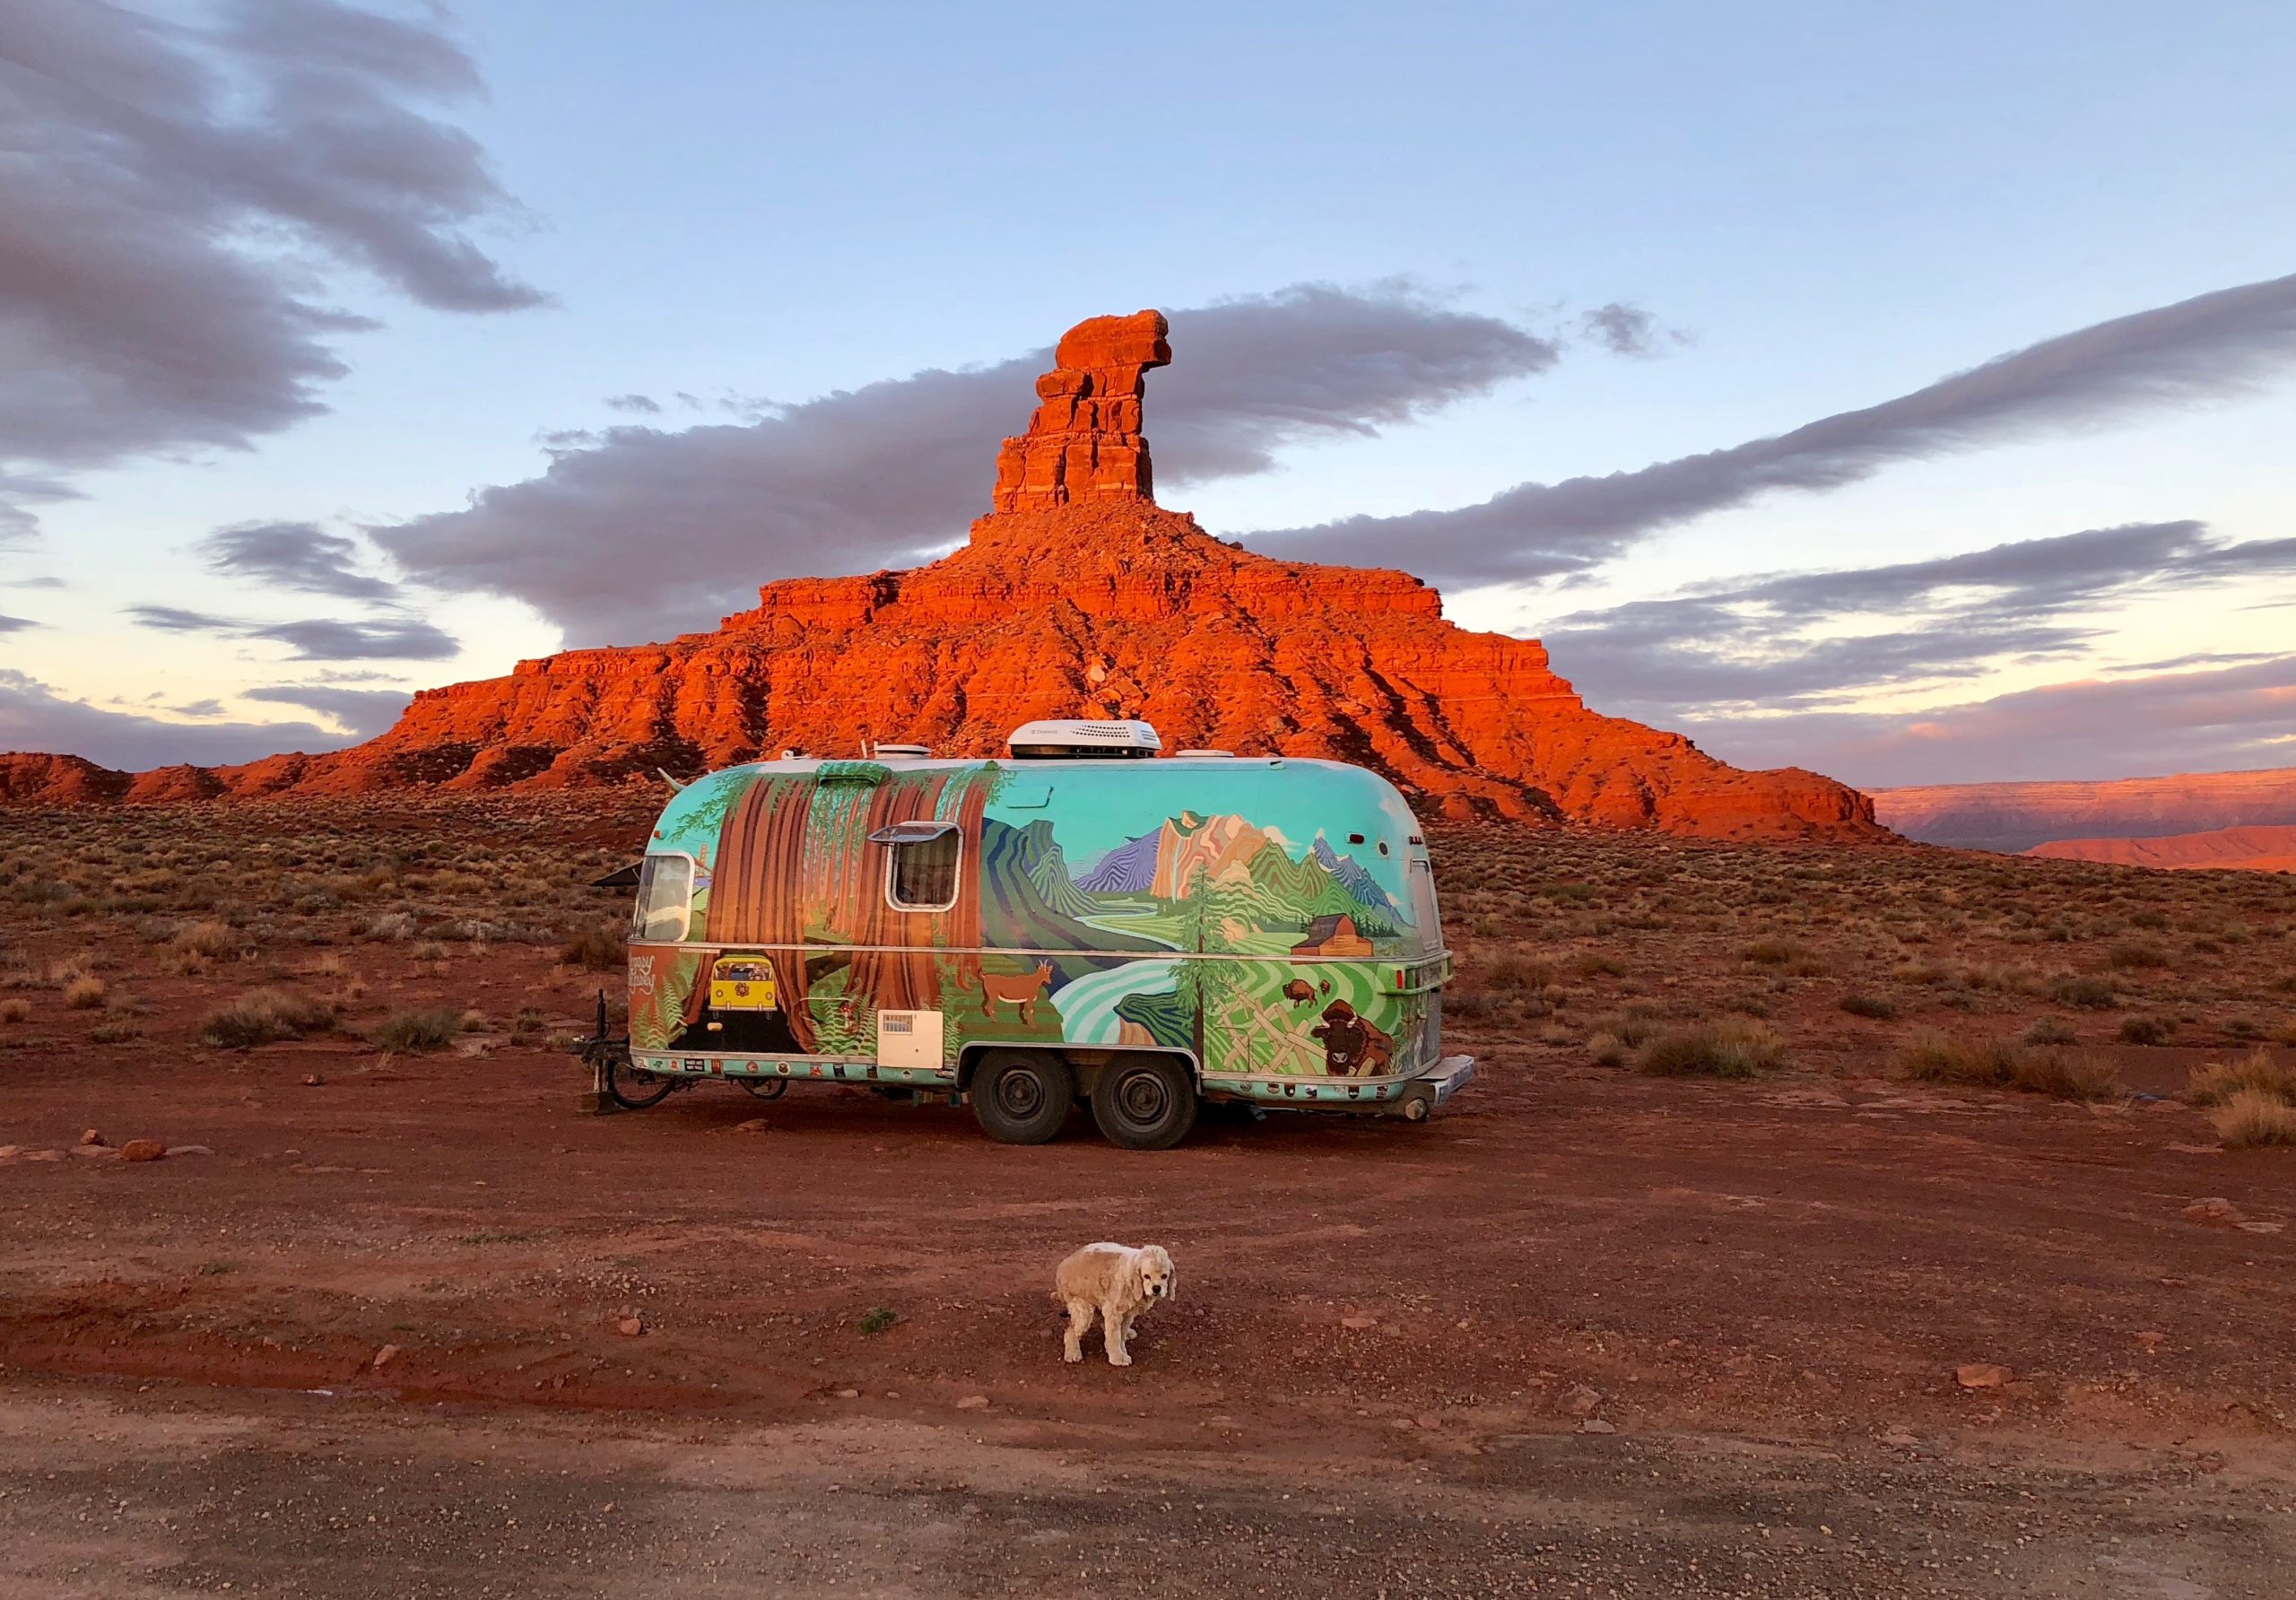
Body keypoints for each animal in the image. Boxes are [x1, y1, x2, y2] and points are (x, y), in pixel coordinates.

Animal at [1051, 1239, 1175, 1368]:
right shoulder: (1114, 1310)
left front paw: (1122, 1346)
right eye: (1146, 1276)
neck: (1132, 1270)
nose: (1156, 1288)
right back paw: (1072, 1353)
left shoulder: (1127, 1312)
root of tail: (1062, 1267)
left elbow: (1121, 1333)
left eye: (1164, 1276)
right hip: (1082, 1306)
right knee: (1071, 1331)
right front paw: (1118, 1358)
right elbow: (1114, 1337)